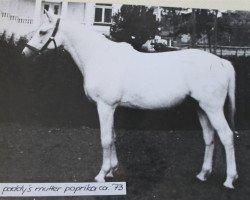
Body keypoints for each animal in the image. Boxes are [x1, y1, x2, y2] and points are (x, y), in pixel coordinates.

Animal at [22, 10, 238, 189]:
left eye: (42, 32)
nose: (25, 53)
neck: (99, 57)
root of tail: (221, 62)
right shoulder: (111, 107)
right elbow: (113, 136)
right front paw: (111, 170)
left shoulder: (105, 106)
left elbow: (105, 139)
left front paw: (101, 175)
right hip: (201, 108)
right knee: (209, 137)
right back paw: (203, 174)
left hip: (212, 108)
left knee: (226, 136)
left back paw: (229, 179)